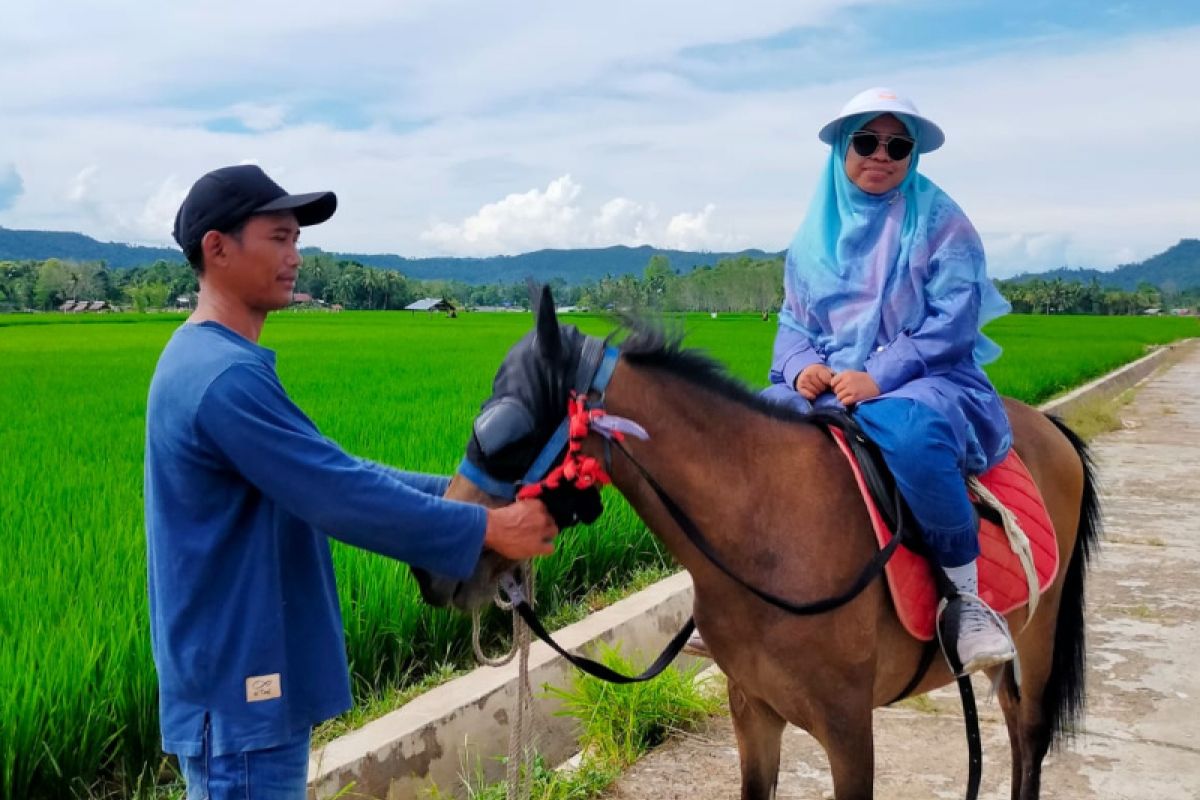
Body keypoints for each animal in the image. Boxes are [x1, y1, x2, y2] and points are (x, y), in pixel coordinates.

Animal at [417, 289, 1099, 800]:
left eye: (504, 434)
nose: (435, 573)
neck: (767, 536)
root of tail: (1048, 428)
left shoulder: (849, 728)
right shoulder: (753, 709)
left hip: (1038, 638)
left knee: (1029, 736)